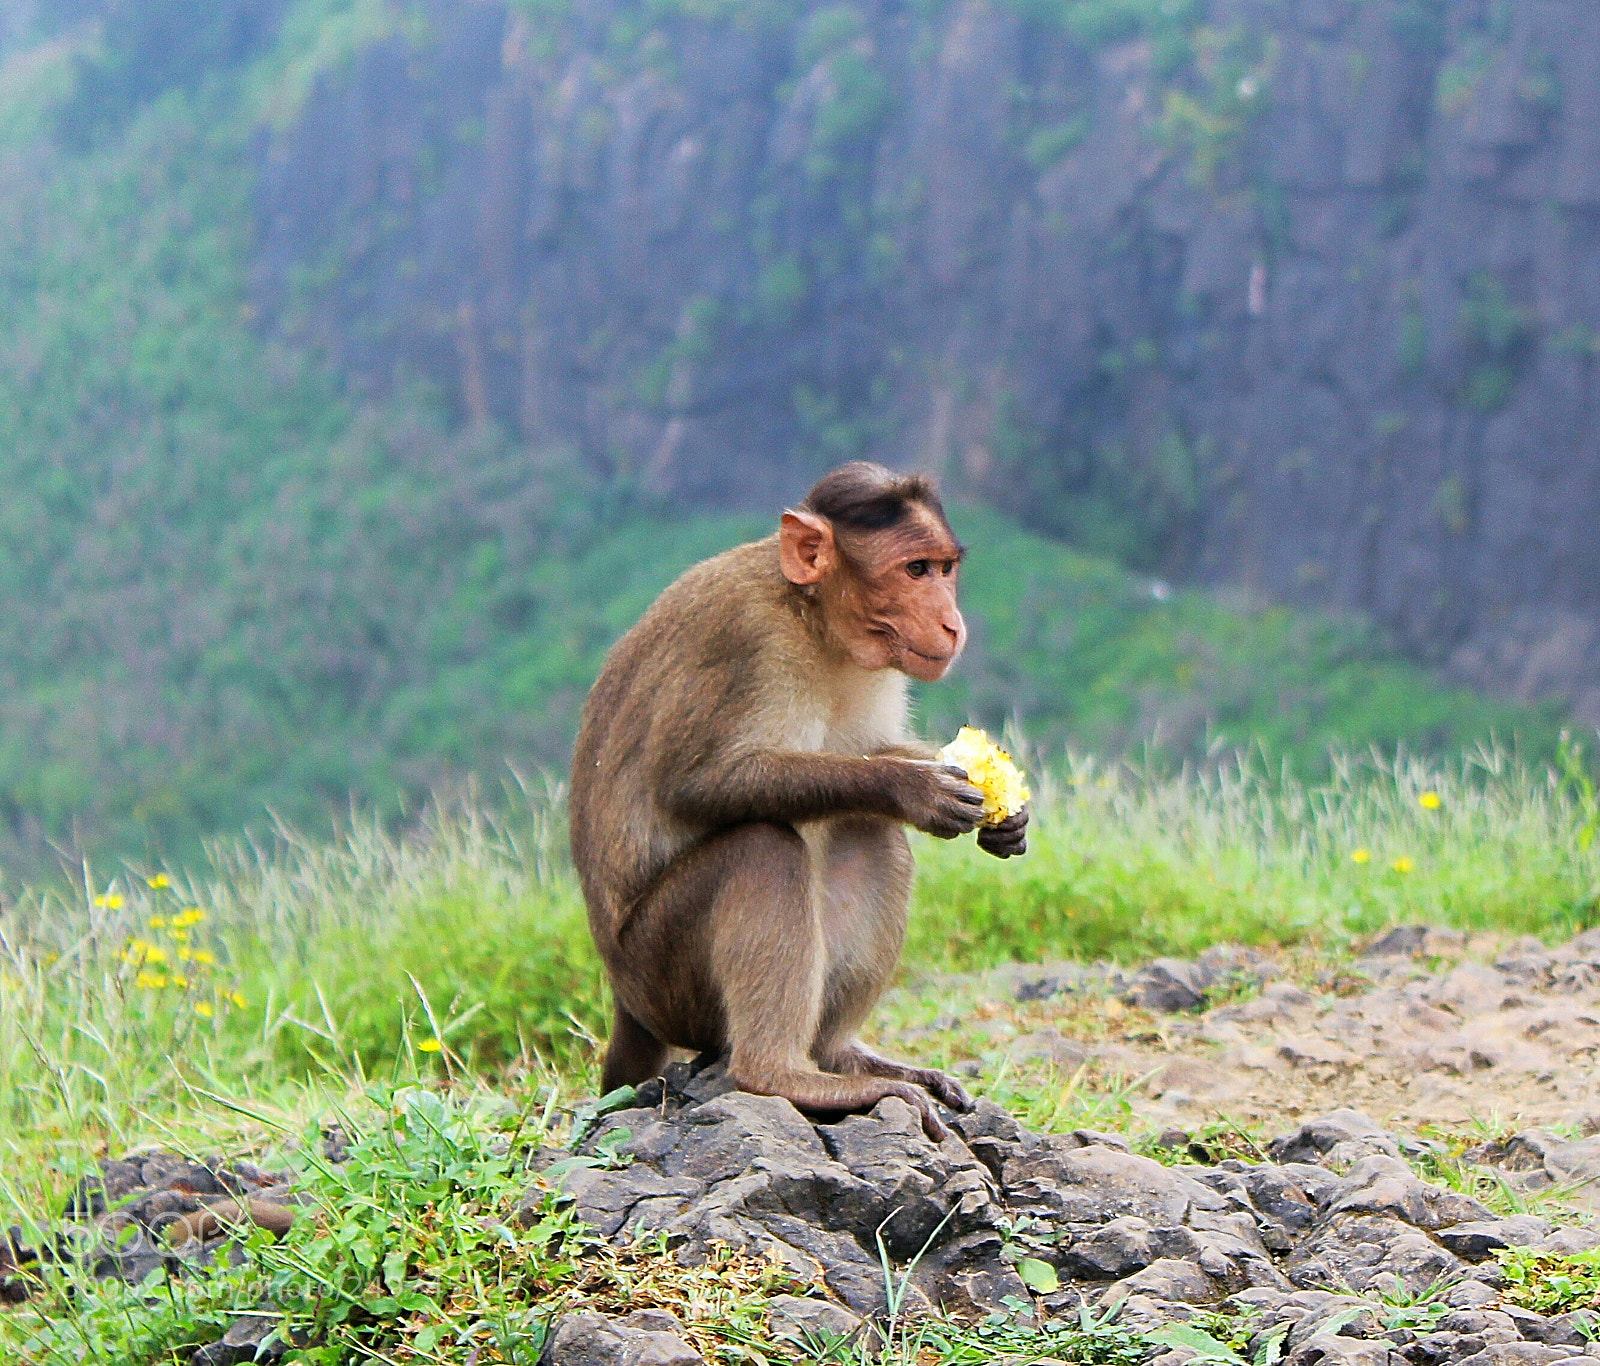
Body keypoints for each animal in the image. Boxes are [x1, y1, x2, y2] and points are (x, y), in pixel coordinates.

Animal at [568, 461, 1029, 1139]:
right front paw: (910, 787)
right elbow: (694, 785)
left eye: (945, 569)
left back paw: (841, 1056)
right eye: (915, 570)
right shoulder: (746, 640)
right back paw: (781, 1075)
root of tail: (626, 1001)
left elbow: (871, 750)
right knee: (762, 847)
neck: (811, 617)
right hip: (661, 975)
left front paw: (1005, 815)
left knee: (869, 834)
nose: (952, 623)